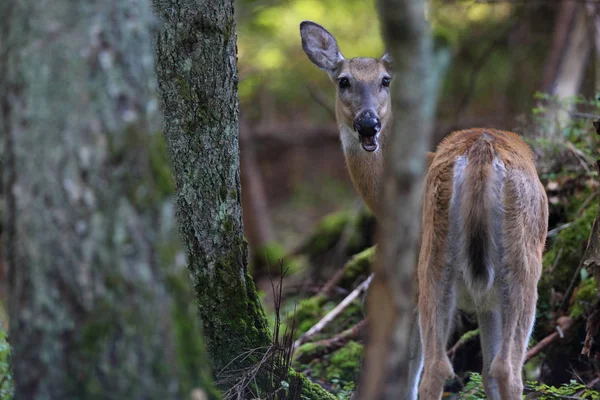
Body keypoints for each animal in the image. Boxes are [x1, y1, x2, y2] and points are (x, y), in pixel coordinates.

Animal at [300, 21, 548, 400]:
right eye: (343, 80)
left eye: (386, 80)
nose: (368, 124)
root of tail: (480, 152)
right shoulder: (485, 302)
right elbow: (485, 371)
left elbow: (409, 364)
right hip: (503, 267)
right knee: (496, 367)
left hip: (438, 262)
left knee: (444, 366)